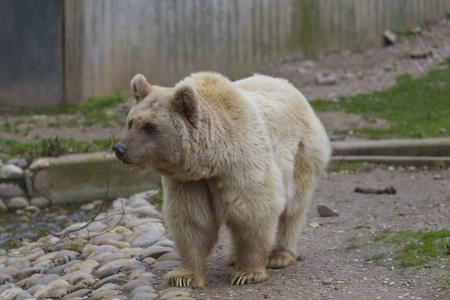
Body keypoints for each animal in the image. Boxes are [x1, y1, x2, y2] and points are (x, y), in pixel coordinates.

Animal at [112, 71, 330, 288]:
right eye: (131, 123)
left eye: (149, 127)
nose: (119, 149)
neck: (211, 161)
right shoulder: (189, 182)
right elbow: (191, 220)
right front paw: (182, 276)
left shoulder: (242, 163)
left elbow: (253, 211)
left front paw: (247, 273)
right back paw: (234, 256)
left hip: (302, 153)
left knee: (293, 208)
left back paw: (280, 255)